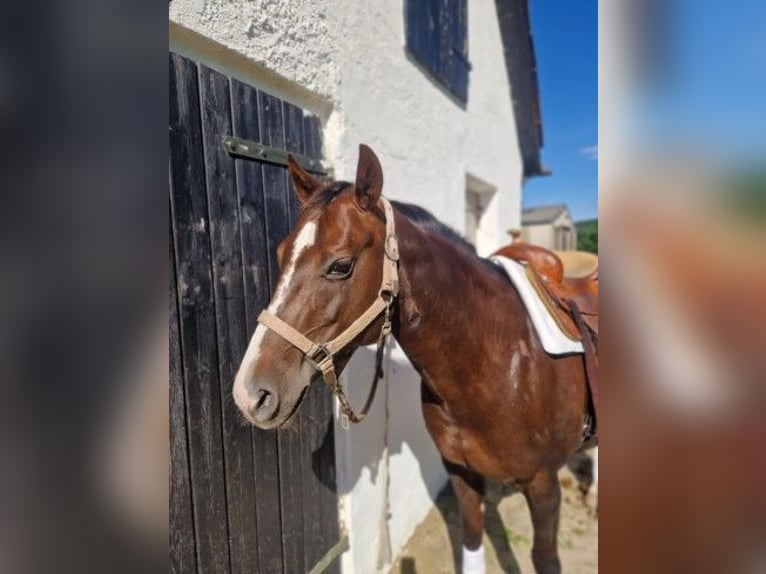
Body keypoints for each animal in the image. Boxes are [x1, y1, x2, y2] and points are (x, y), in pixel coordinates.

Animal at [234, 145, 592, 574]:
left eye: (341, 265)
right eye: (281, 255)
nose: (250, 393)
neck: (499, 362)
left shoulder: (544, 487)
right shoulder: (461, 476)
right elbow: (472, 545)